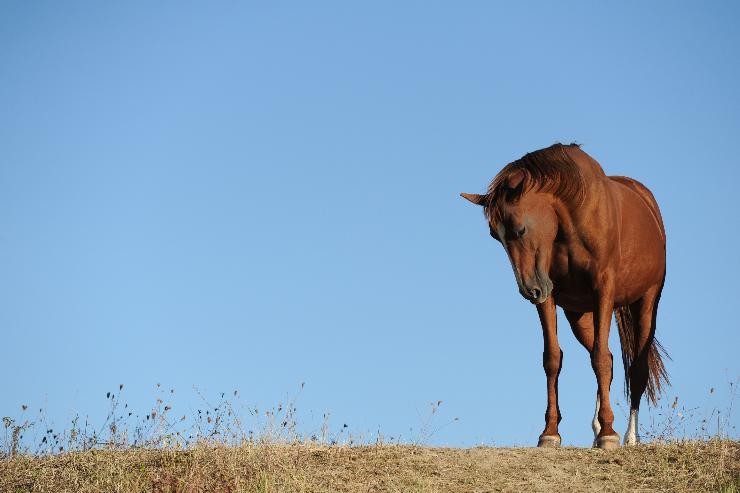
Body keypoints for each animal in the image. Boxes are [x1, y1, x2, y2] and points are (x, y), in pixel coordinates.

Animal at [460, 143, 668, 450]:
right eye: (494, 236)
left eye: (520, 229)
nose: (529, 290)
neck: (572, 220)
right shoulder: (550, 297)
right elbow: (553, 359)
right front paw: (550, 432)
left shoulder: (604, 291)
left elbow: (601, 361)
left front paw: (609, 433)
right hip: (580, 316)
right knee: (608, 356)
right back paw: (597, 427)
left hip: (646, 302)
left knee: (635, 367)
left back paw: (630, 436)